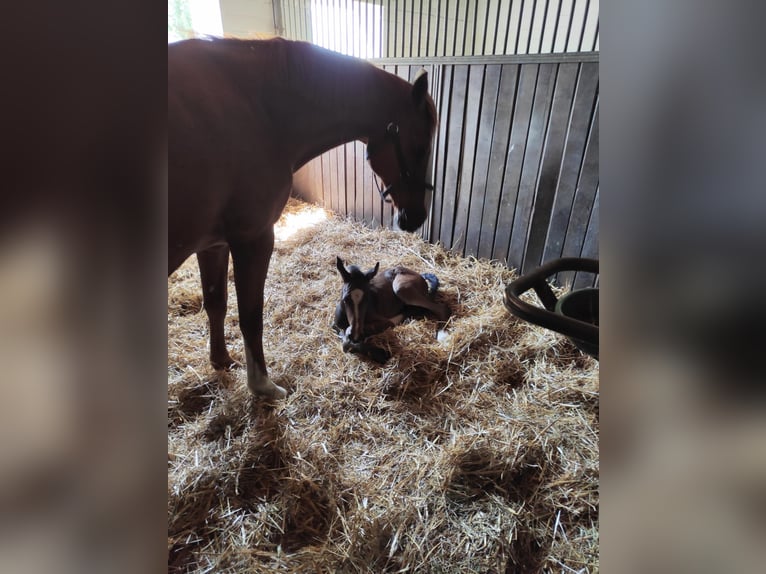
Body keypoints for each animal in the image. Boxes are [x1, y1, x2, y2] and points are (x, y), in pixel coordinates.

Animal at [169, 38, 438, 398]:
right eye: (420, 148)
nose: (416, 217)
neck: (259, 110)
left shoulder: (213, 245)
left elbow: (216, 303)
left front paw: (221, 361)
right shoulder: (254, 238)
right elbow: (251, 316)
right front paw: (263, 386)